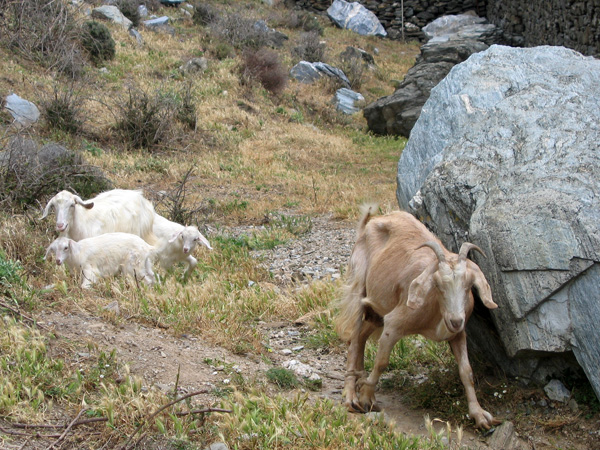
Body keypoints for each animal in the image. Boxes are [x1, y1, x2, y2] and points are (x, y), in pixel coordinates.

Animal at [336, 205, 499, 429]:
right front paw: (366, 396)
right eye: (438, 284)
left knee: (359, 339)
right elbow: (381, 362)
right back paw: (352, 396)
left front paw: (479, 415)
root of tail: (371, 221)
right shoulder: (394, 324)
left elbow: (467, 371)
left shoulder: (458, 335)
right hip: (359, 287)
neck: (435, 310)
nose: (455, 321)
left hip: (377, 311)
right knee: (353, 340)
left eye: (468, 285)